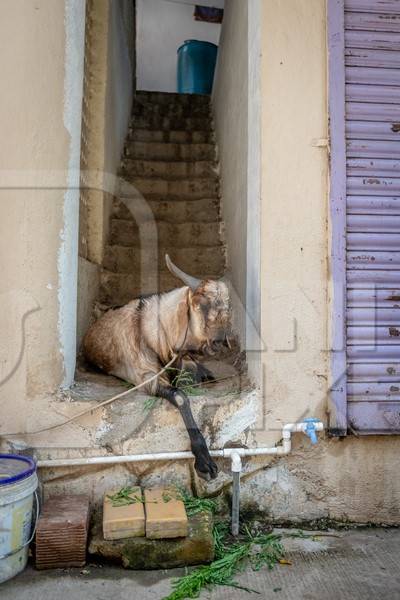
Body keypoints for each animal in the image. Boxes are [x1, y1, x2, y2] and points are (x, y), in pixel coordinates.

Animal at [83, 255, 230, 480]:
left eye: (227, 308)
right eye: (199, 305)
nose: (218, 342)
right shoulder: (146, 376)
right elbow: (180, 396)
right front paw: (205, 462)